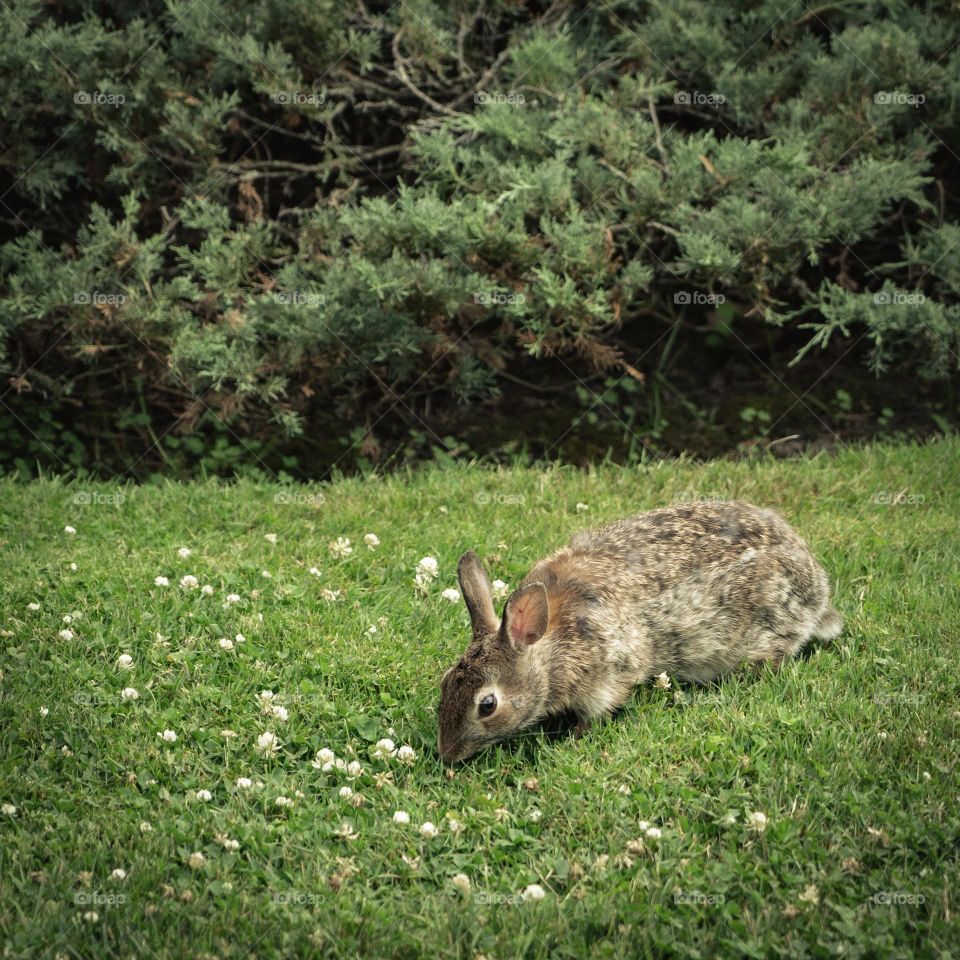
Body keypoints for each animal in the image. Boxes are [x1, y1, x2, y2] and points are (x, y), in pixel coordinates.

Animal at [437, 500, 841, 763]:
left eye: (487, 705)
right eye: (444, 683)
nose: (447, 755)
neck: (549, 646)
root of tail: (817, 590)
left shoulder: (607, 676)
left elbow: (599, 710)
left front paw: (571, 738)